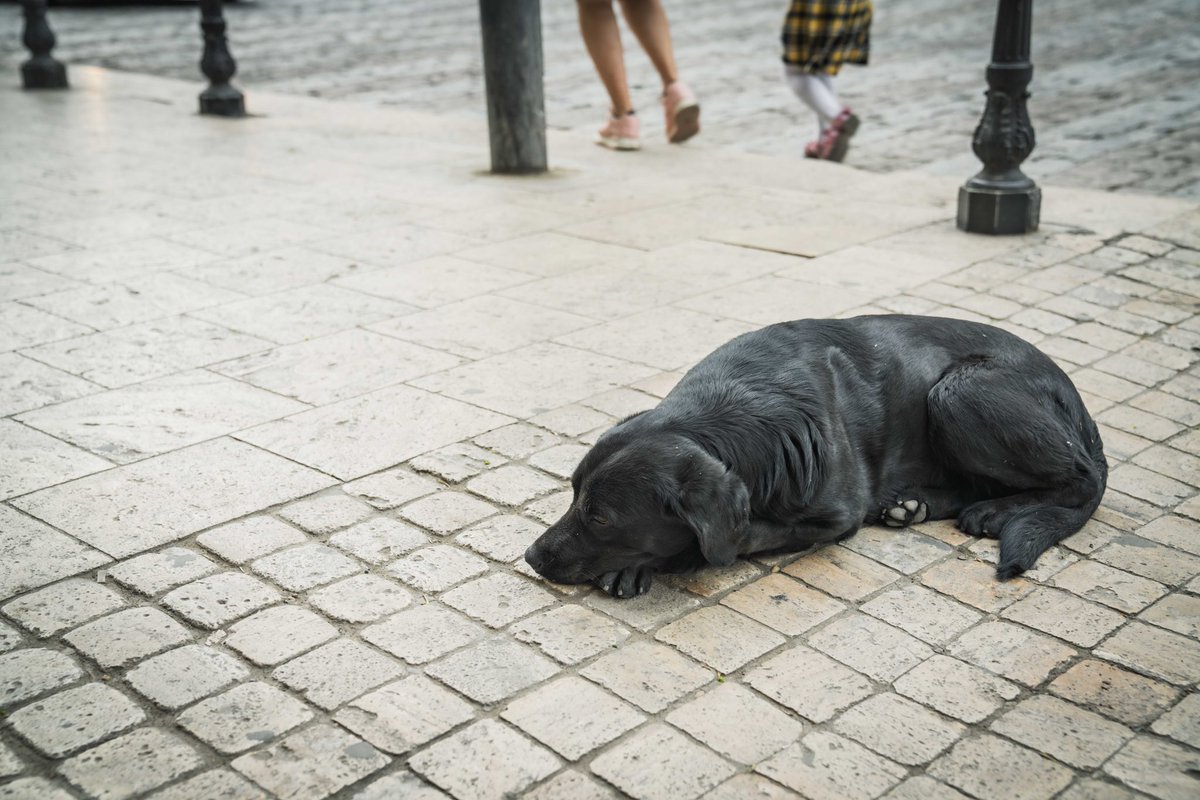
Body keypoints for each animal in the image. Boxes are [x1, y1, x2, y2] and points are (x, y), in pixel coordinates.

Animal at [525, 311, 1104, 594]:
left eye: (601, 518)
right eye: (571, 496)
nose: (531, 556)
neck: (736, 406)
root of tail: (1085, 416)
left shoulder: (835, 516)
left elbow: (739, 539)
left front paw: (654, 562)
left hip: (959, 392)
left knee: (1076, 481)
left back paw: (994, 511)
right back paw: (913, 505)